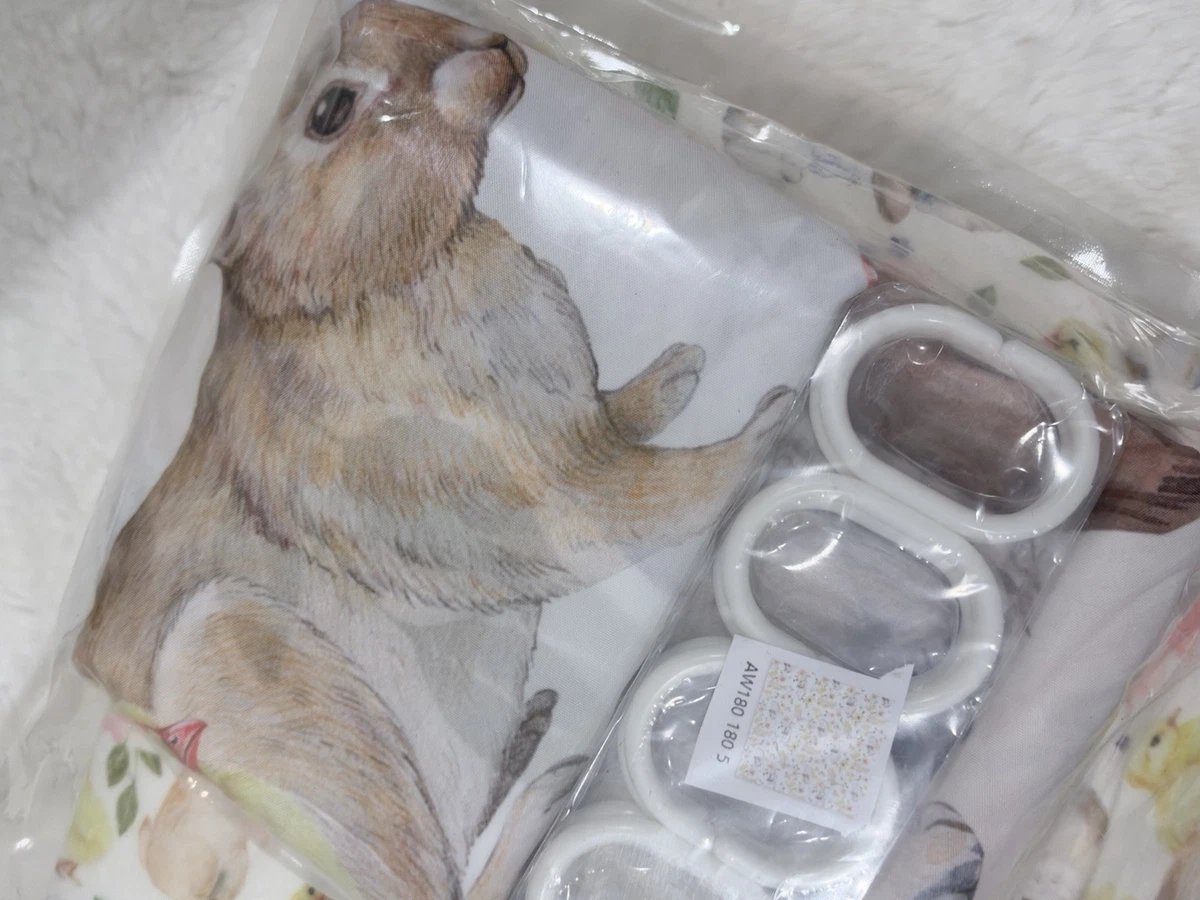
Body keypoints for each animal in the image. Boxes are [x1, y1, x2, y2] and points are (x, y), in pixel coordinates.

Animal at [73, 2, 793, 898]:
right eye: (330, 111)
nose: (500, 49)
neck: (370, 283)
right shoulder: (539, 489)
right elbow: (655, 495)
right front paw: (773, 421)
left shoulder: (566, 419)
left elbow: (616, 417)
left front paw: (678, 374)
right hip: (255, 667)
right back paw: (555, 776)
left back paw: (535, 732)